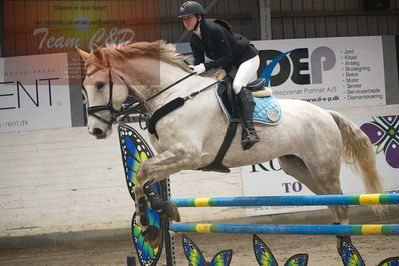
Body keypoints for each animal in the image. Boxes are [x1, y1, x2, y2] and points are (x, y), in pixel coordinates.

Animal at [76, 40, 386, 248]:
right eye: (83, 89)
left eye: (101, 84)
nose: (96, 130)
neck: (173, 96)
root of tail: (326, 113)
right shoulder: (168, 155)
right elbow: (146, 179)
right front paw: (164, 211)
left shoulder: (189, 155)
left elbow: (142, 173)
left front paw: (148, 225)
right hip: (300, 168)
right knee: (333, 203)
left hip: (323, 167)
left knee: (342, 204)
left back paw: (346, 247)